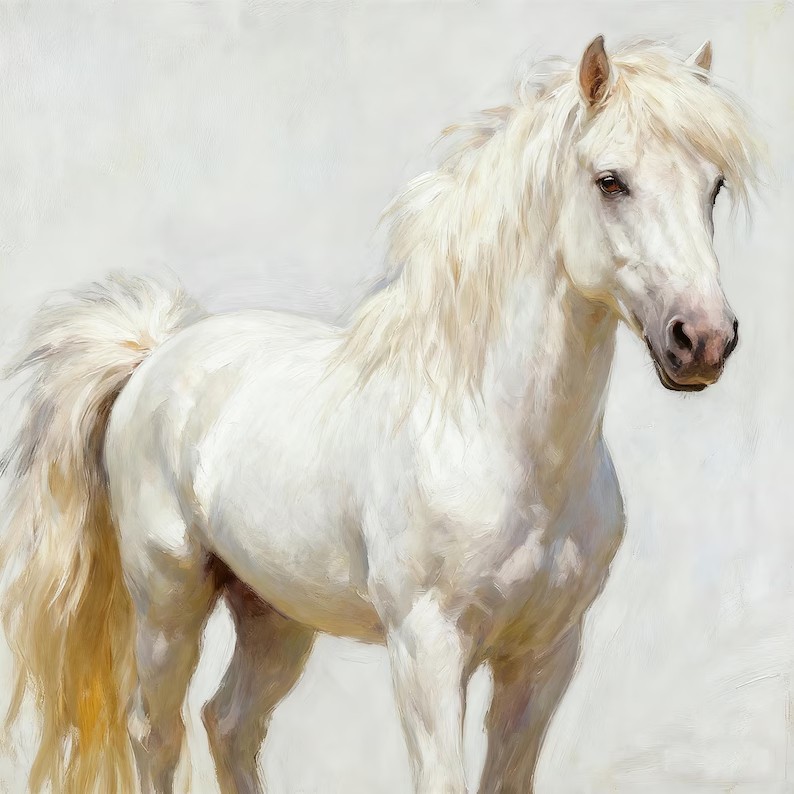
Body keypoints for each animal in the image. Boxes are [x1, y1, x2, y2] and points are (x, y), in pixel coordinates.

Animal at [0, 36, 758, 794]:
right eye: (610, 181)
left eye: (714, 186)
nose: (703, 339)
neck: (495, 439)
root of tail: (155, 354)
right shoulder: (427, 650)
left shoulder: (546, 656)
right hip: (168, 600)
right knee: (155, 731)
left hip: (274, 614)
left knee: (230, 722)